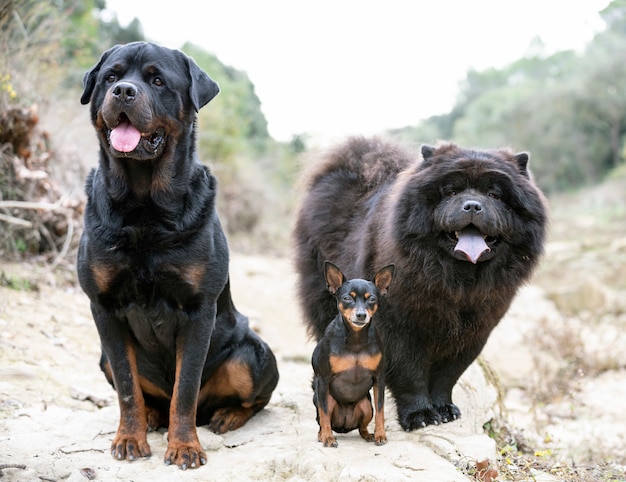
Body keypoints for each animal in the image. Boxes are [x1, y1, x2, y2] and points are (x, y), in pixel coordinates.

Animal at [75, 42, 276, 470]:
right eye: (111, 77)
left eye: (156, 80)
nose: (123, 92)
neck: (143, 205)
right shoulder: (104, 307)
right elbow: (127, 386)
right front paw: (129, 437)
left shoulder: (199, 310)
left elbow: (185, 389)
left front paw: (184, 446)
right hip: (102, 357)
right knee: (142, 390)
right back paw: (153, 416)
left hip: (253, 353)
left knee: (249, 398)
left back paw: (227, 416)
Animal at [310, 262, 392, 446]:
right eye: (347, 298)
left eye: (372, 299)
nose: (361, 315)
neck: (356, 339)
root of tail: (344, 427)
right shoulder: (323, 379)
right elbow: (324, 414)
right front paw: (327, 438)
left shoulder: (379, 378)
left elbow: (381, 410)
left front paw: (380, 434)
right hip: (323, 397)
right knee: (322, 417)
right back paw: (322, 434)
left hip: (366, 405)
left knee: (362, 426)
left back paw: (369, 435)